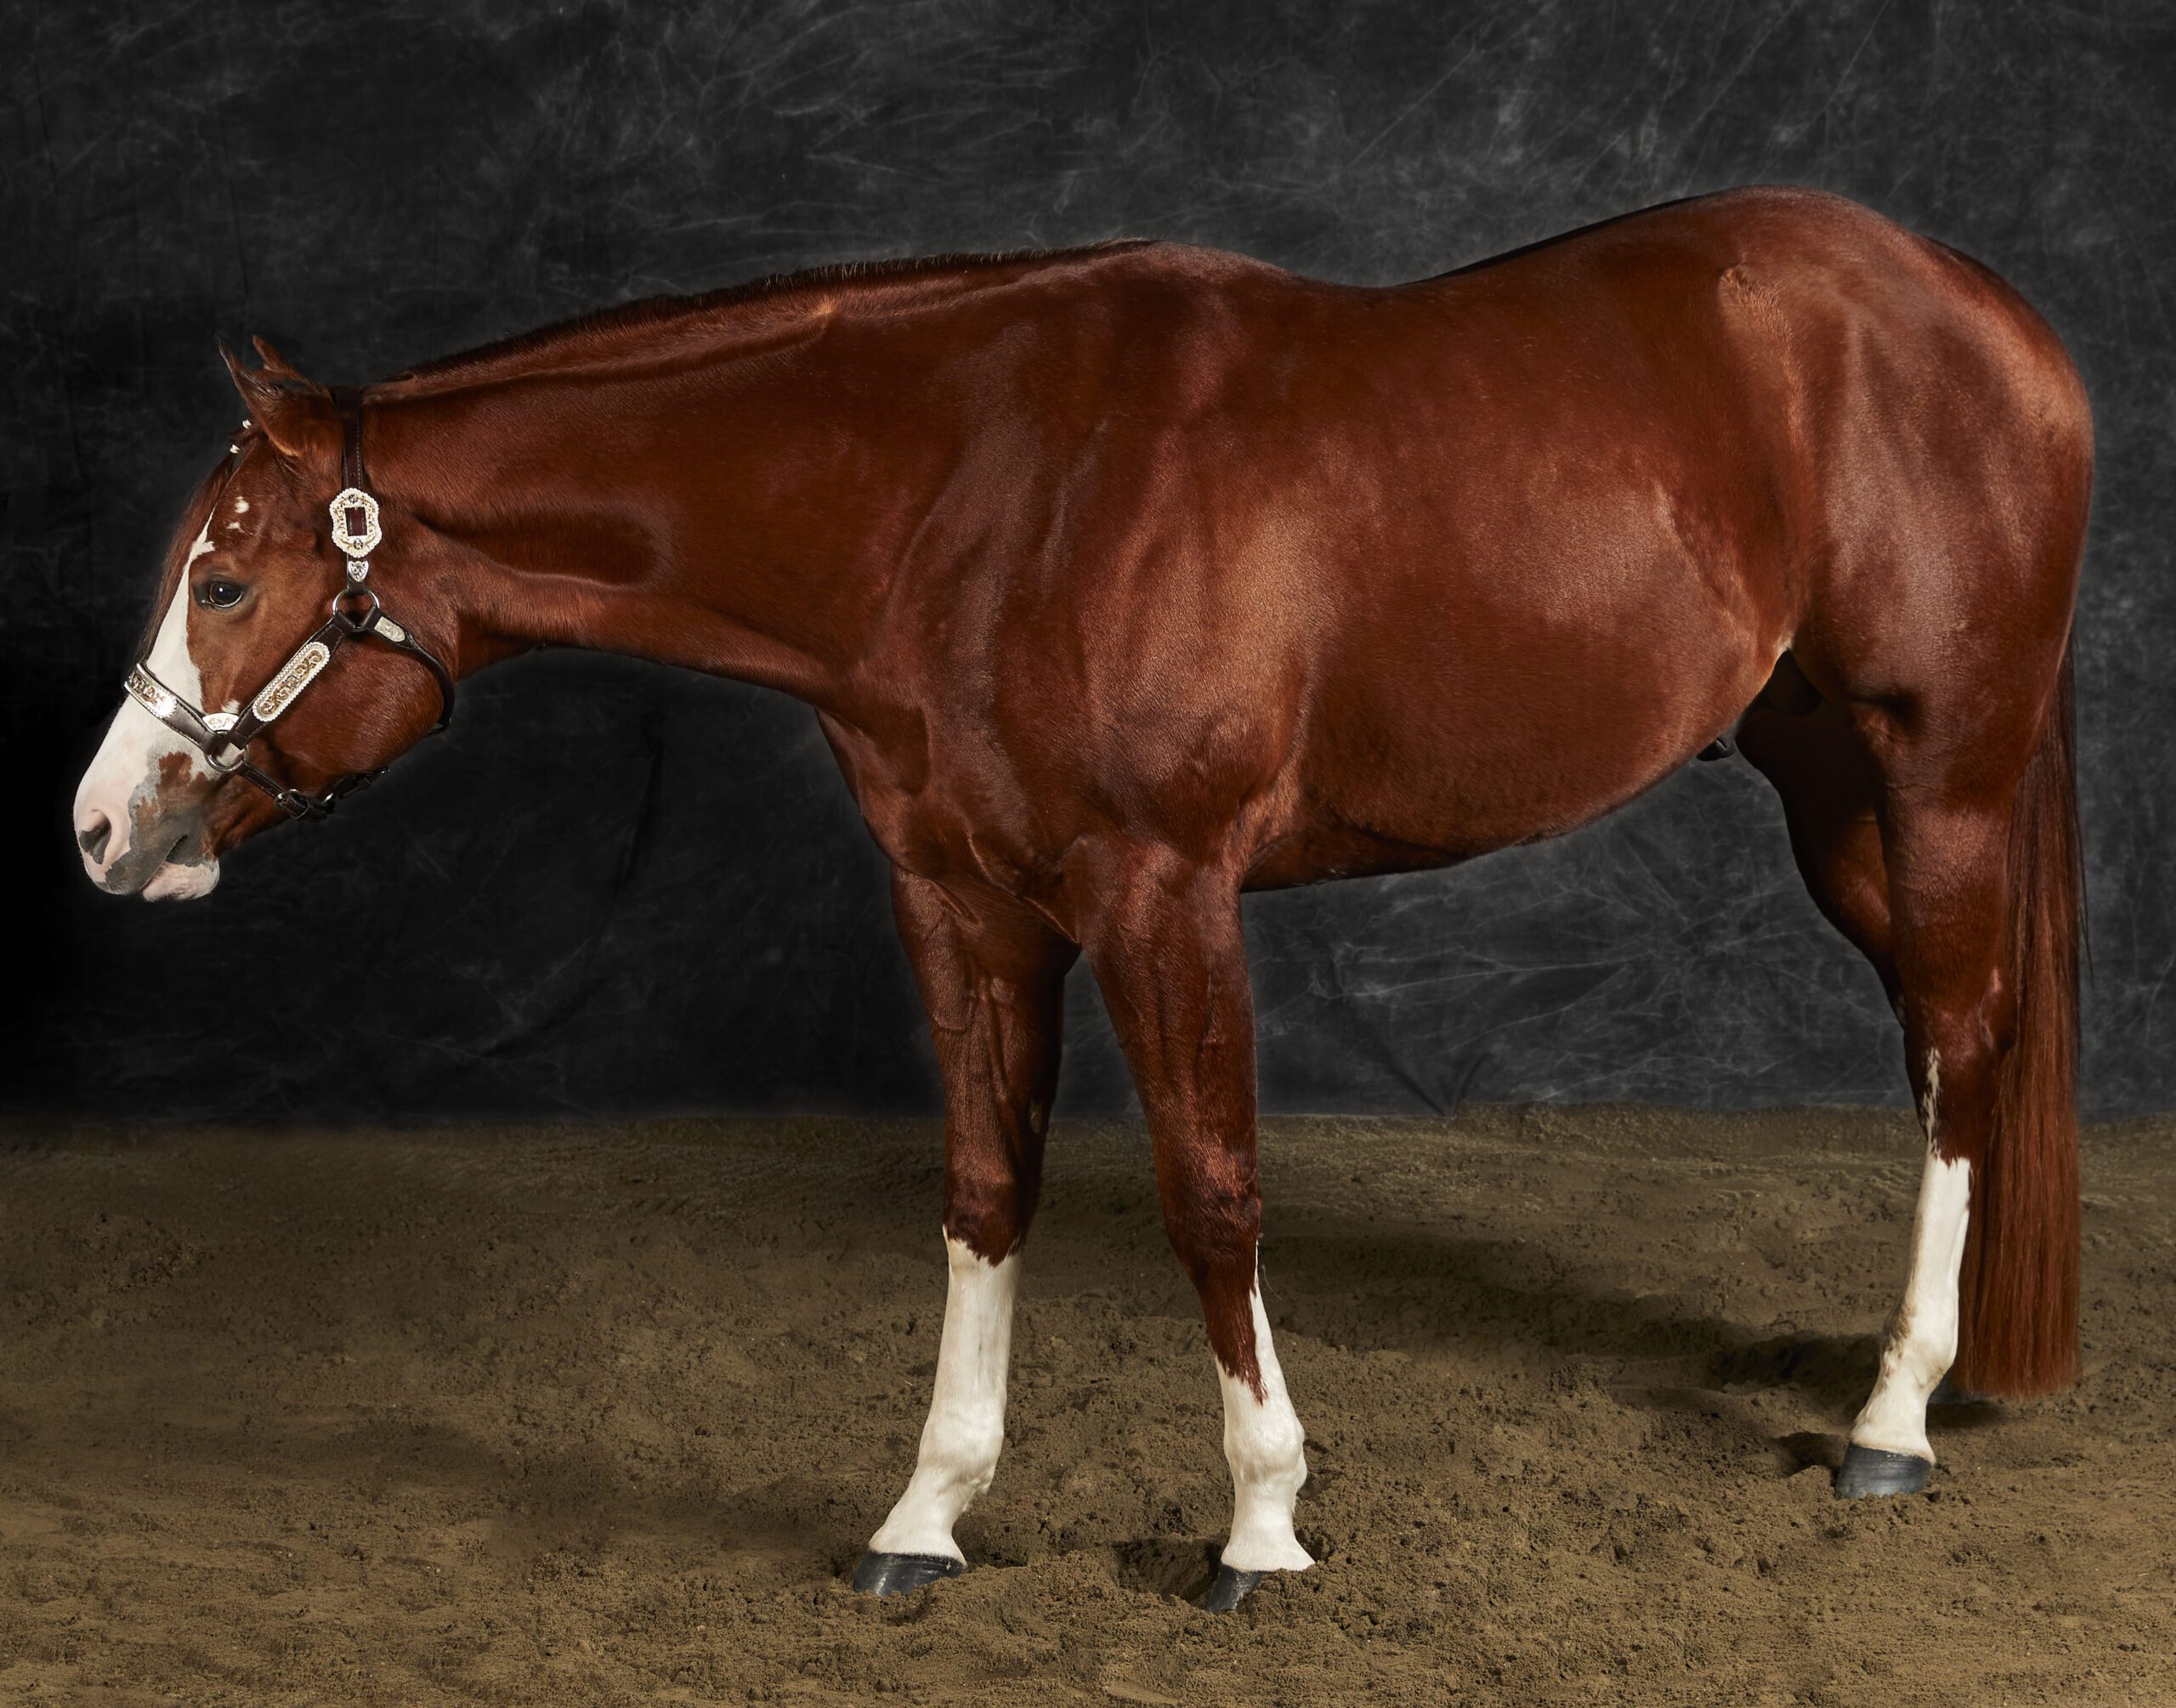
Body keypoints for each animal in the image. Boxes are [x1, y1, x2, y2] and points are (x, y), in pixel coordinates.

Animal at [72, 186, 2088, 1611]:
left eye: (228, 579)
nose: (99, 830)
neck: (968, 496)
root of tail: (1988, 312)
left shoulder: (1162, 888)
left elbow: (1211, 1190)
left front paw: (1261, 1526)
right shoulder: (959, 902)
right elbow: (984, 1191)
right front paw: (924, 1514)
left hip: (1937, 772)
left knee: (1964, 1038)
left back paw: (1892, 1420)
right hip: (1831, 792)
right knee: (1941, 1049)